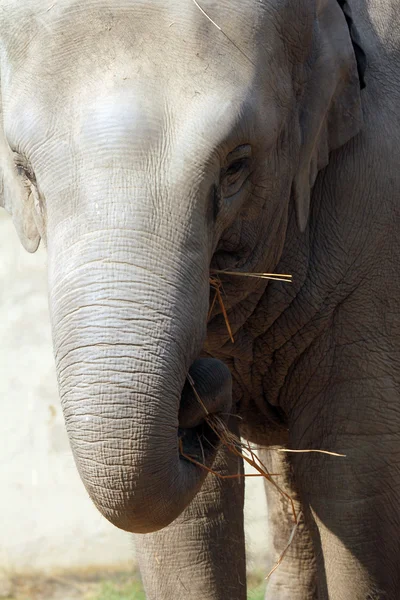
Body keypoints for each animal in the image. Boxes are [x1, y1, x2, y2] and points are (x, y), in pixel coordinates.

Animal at [0, 0, 400, 596]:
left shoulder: (375, 219)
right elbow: (187, 518)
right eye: (23, 170)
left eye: (236, 165)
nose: (203, 377)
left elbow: (353, 473)